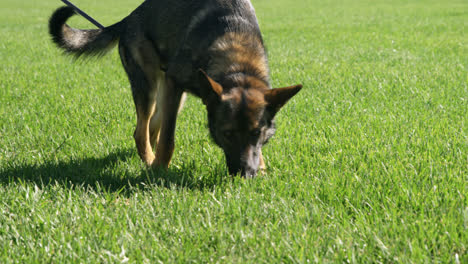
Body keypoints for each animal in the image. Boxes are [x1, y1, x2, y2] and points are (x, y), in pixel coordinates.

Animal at [47, 0, 302, 178]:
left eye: (257, 133)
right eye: (227, 134)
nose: (245, 174)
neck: (237, 66)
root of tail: (128, 19)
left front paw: (262, 167)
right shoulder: (174, 82)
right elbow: (168, 139)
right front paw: (160, 170)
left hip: (172, 98)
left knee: (151, 127)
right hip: (149, 87)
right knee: (141, 130)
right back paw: (150, 160)